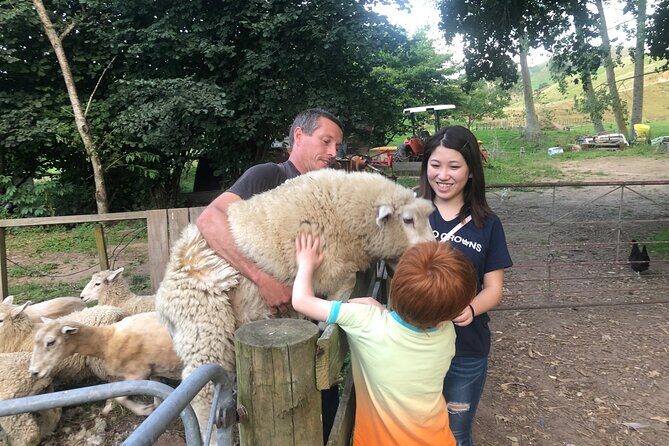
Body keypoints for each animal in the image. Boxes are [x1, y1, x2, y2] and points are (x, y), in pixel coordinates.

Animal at [29, 312, 183, 416]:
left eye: (51, 342)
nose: (33, 372)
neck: (106, 341)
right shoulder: (153, 370)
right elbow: (157, 394)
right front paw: (156, 409)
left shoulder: (137, 373)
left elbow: (120, 398)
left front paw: (144, 410)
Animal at [156, 169, 435, 439]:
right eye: (408, 220)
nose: (432, 249)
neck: (344, 213)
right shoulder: (333, 270)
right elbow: (343, 289)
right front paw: (327, 319)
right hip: (205, 324)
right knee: (202, 392)